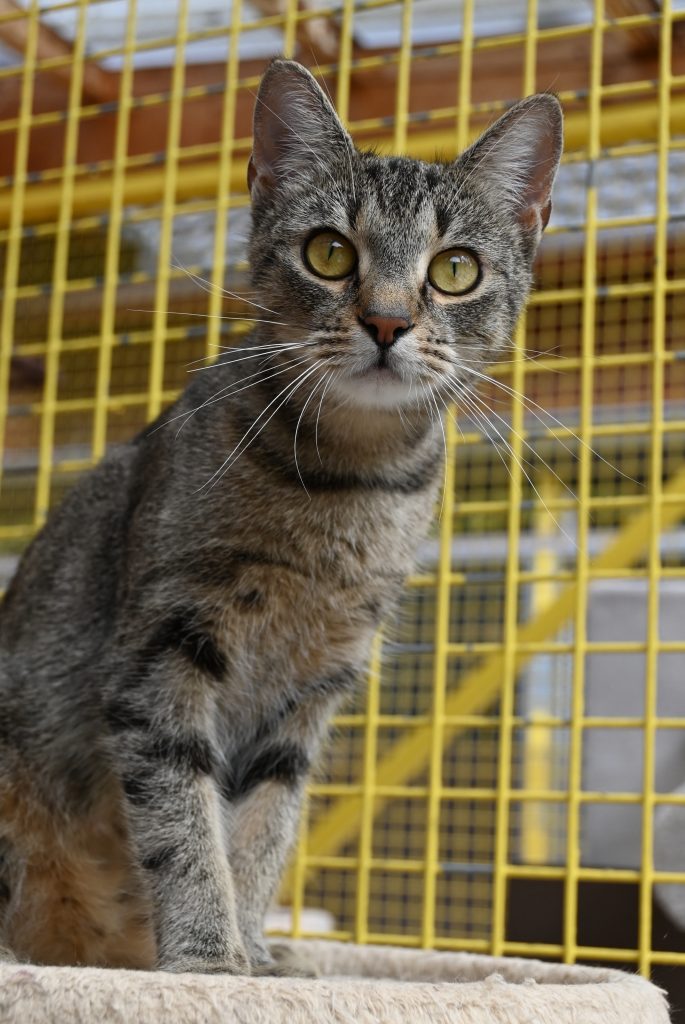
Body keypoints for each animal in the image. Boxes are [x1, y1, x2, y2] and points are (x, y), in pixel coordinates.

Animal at [0, 59, 562, 975]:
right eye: (329, 252)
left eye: (453, 270)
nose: (387, 320)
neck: (348, 487)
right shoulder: (162, 653)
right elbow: (185, 823)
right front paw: (205, 955)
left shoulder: (312, 691)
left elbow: (262, 830)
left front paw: (253, 949)